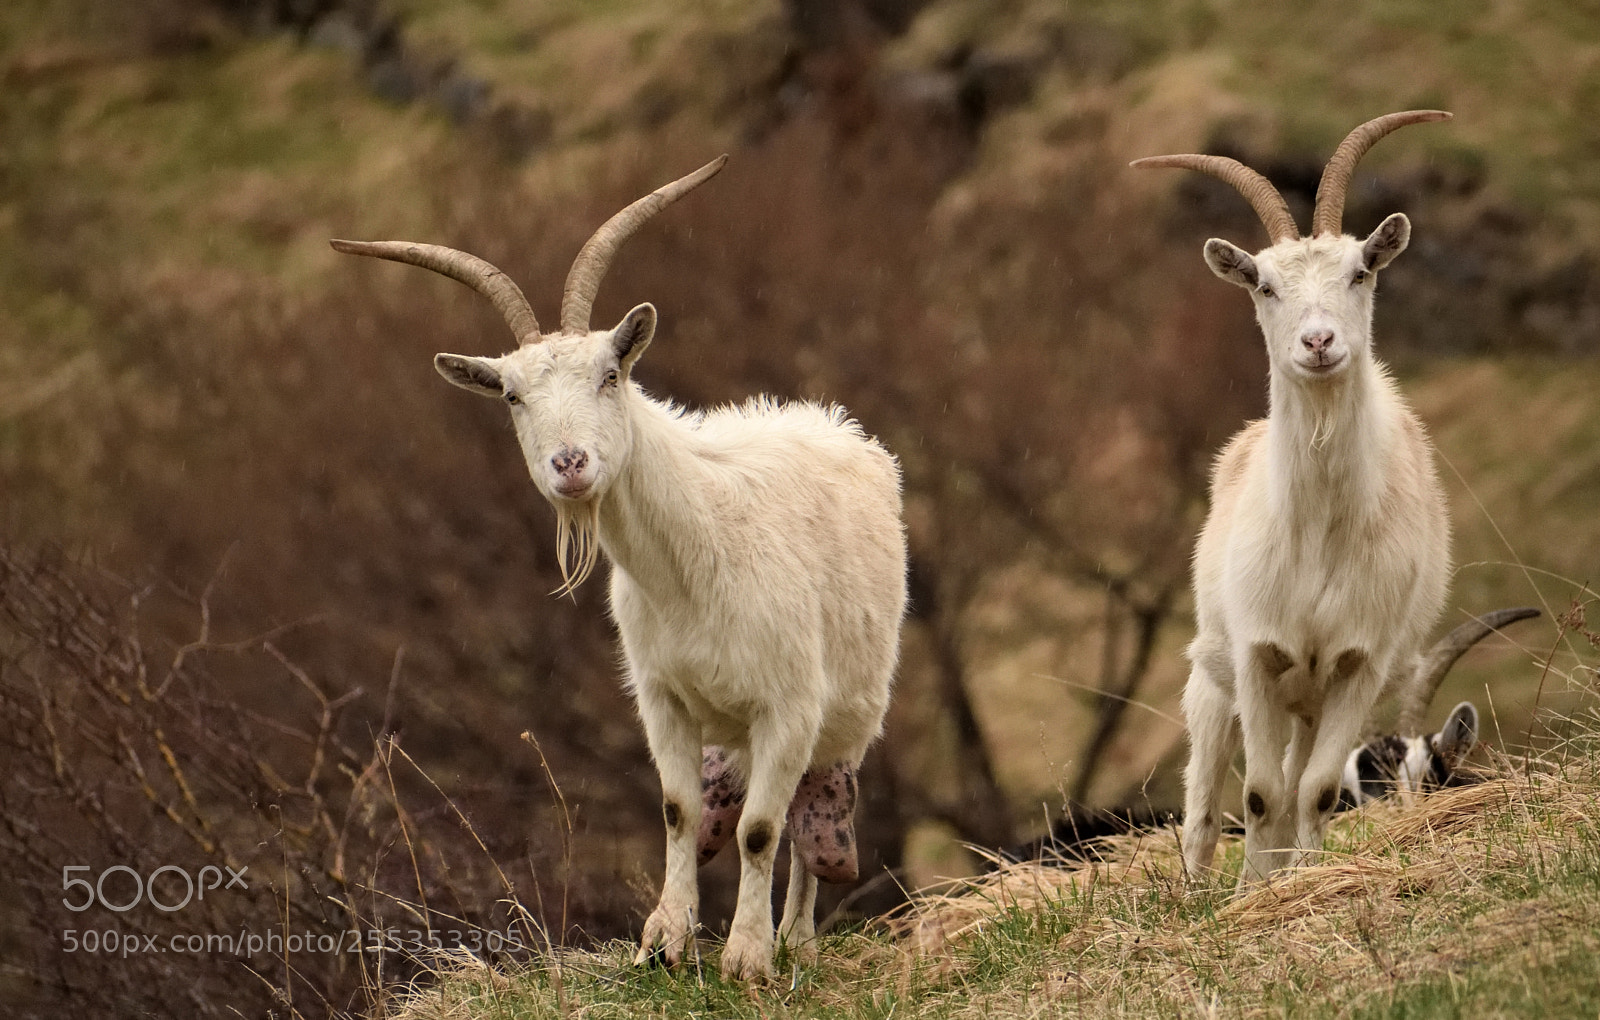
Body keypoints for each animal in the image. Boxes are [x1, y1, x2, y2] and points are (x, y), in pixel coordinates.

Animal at [331, 157, 908, 980]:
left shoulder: (789, 704)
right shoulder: (663, 697)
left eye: (610, 373)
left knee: (812, 811)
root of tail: (834, 425)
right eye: (512, 395)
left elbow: (761, 829)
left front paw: (747, 958)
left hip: (849, 709)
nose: (570, 464)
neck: (699, 552)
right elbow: (678, 809)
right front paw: (664, 942)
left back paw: (796, 936)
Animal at [1134, 111, 1455, 885]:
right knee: (1204, 803)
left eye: (1361, 270)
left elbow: (1314, 792)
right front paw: (1252, 892)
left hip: (1308, 701)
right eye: (1264, 286)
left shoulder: (1357, 663)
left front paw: (1301, 881)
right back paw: (1197, 888)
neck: (1317, 533)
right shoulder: (1257, 655)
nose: (1318, 342)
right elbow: (1256, 793)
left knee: (1297, 782)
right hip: (1211, 676)